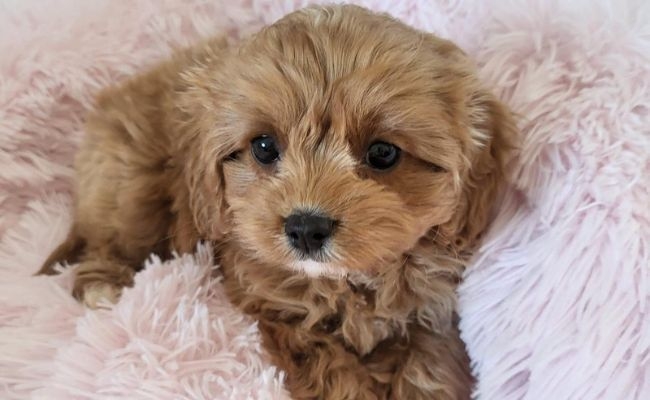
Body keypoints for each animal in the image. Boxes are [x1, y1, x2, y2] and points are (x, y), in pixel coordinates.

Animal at [39, 3, 516, 400]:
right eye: (264, 147)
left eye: (383, 153)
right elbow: (329, 368)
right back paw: (104, 286)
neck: (347, 282)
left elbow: (429, 364)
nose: (306, 228)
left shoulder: (430, 311)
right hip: (127, 183)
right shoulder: (275, 310)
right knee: (109, 239)